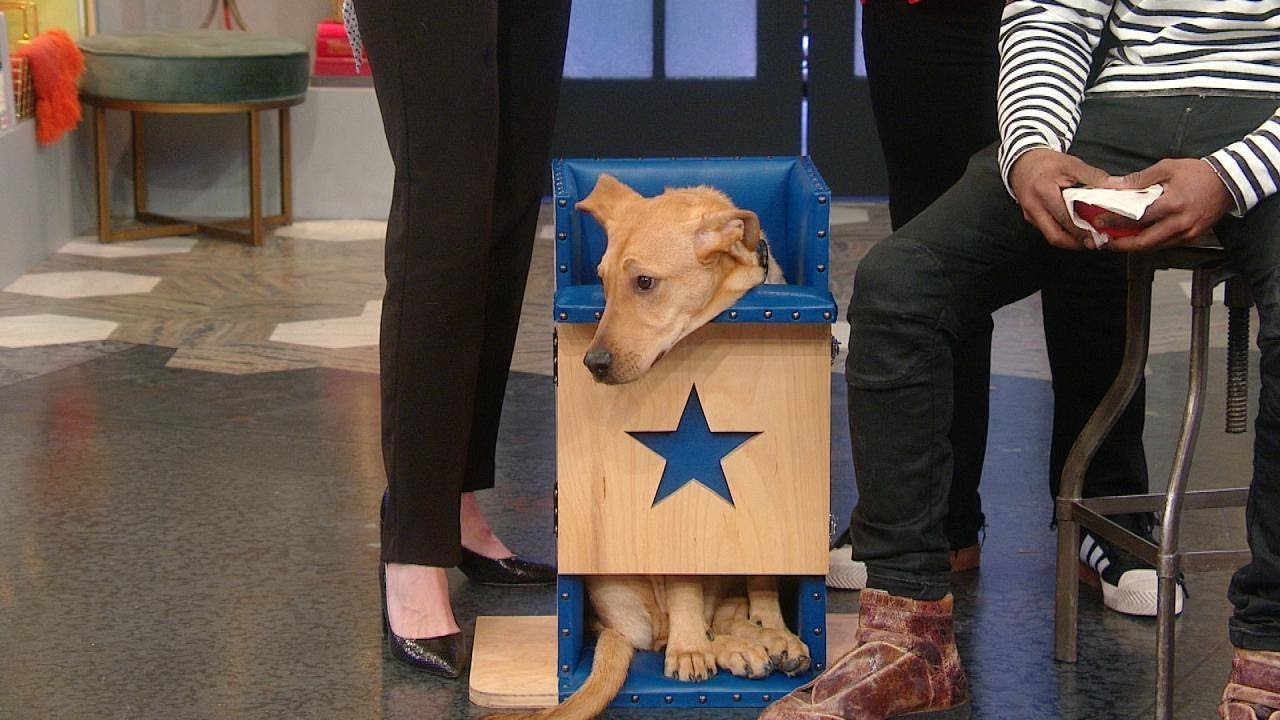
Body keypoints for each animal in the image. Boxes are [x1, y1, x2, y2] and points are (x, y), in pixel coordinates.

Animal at [483, 175, 803, 717]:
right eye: (602, 282)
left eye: (645, 283)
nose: (593, 364)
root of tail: (607, 627)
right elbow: (685, 588)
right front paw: (695, 650)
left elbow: (761, 573)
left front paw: (774, 626)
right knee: (665, 632)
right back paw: (726, 646)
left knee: (722, 609)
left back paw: (759, 638)